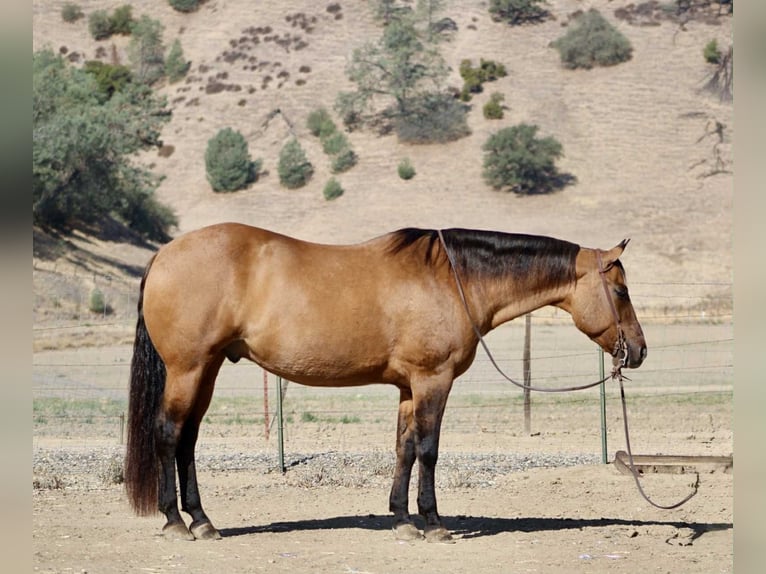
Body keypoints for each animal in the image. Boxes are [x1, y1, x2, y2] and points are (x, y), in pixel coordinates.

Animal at [125, 223, 646, 543]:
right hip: (189, 369)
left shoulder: (408, 387)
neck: (453, 279)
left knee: (188, 440)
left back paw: (202, 520)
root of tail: (163, 255)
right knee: (168, 433)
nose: (639, 351)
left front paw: (401, 519)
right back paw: (176, 521)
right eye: (620, 290)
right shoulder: (433, 380)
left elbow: (404, 449)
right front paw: (433, 523)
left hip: (207, 370)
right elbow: (429, 450)